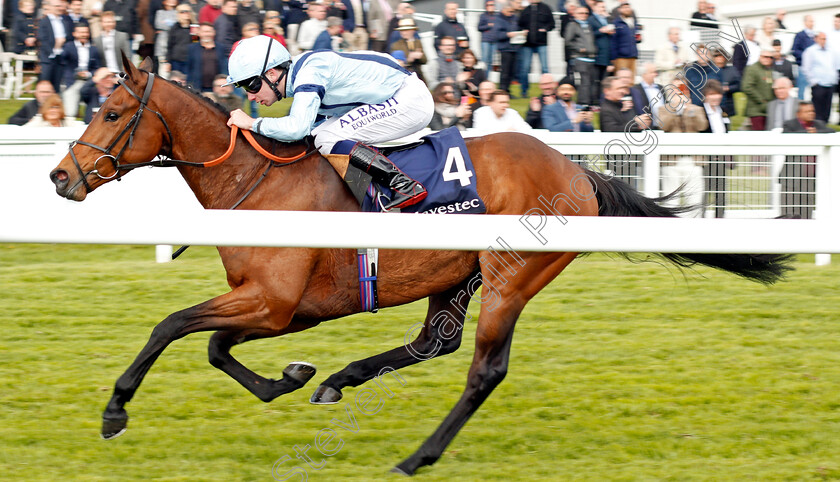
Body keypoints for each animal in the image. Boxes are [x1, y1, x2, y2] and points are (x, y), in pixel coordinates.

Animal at [50, 57, 788, 474]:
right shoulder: (278, 307)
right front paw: (292, 378)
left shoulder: (276, 302)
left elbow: (173, 326)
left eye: (111, 112)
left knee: (483, 368)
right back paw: (340, 380)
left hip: (510, 276)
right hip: (456, 276)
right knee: (437, 341)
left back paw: (416, 457)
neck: (256, 184)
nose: (61, 177)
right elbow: (213, 347)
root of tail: (576, 172)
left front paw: (114, 412)